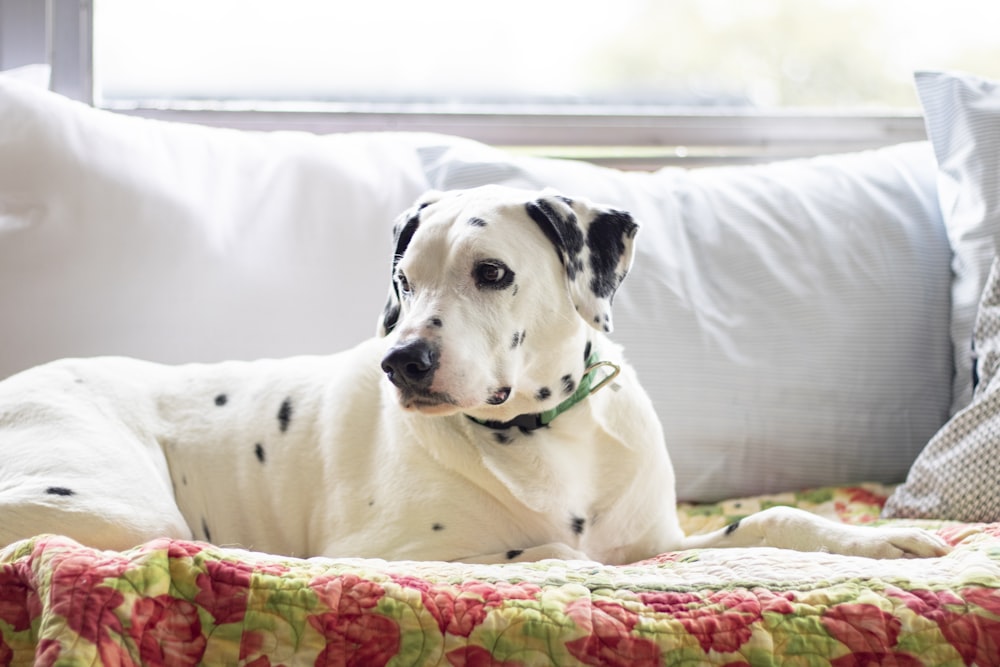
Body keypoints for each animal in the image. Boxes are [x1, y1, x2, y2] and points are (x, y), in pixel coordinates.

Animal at [0, 187, 944, 564]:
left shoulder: (659, 541)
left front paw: (880, 540)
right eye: (403, 281)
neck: (548, 436)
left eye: (491, 273)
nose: (401, 360)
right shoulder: (377, 550)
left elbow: (772, 520)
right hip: (122, 512)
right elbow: (550, 551)